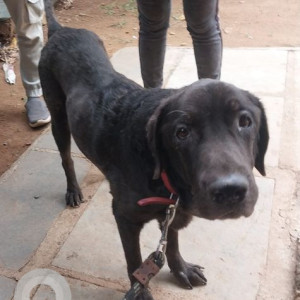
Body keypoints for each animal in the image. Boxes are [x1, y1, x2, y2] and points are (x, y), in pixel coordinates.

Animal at [40, 1, 270, 298]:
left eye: (245, 121)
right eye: (181, 132)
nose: (231, 191)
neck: (160, 172)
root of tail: (60, 30)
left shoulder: (171, 210)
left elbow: (171, 242)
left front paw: (180, 268)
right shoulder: (125, 217)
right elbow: (134, 262)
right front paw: (140, 292)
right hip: (57, 115)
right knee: (66, 157)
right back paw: (73, 190)